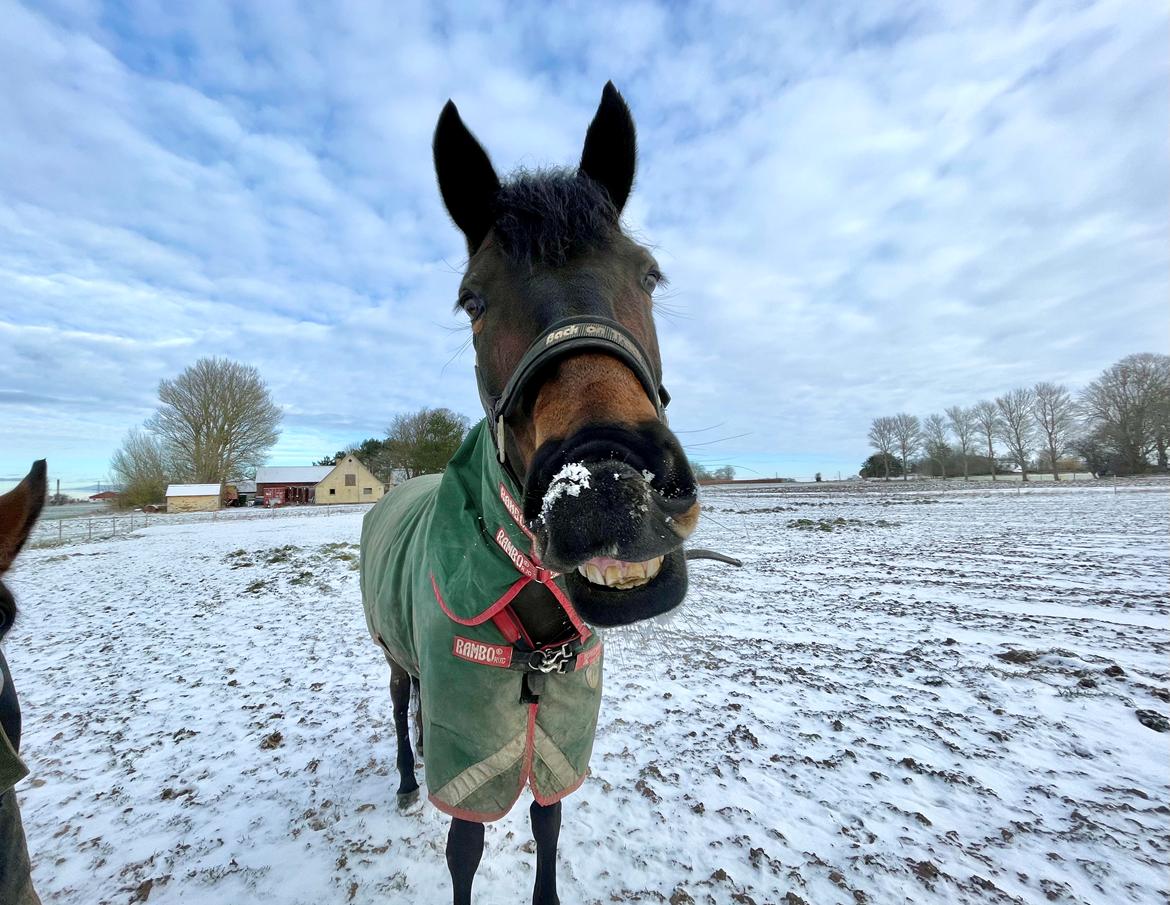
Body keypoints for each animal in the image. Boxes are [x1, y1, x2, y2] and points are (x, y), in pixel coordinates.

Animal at [360, 81, 697, 902]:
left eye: (648, 274)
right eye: (472, 300)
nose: (610, 488)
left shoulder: (561, 737)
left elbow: (549, 823)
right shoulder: (474, 747)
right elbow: (466, 850)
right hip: (391, 650)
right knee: (400, 702)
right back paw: (408, 777)